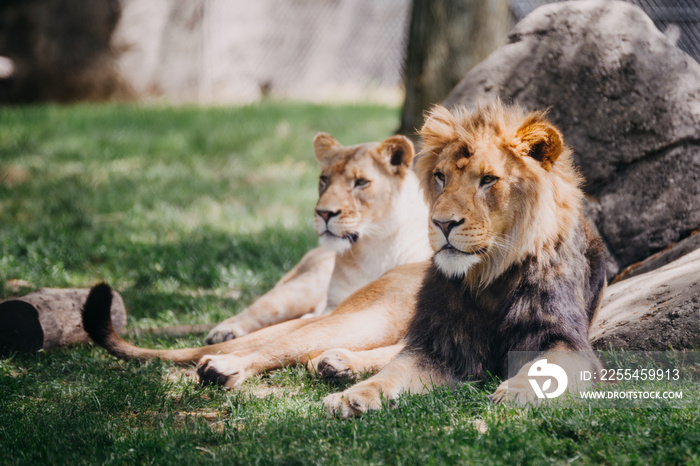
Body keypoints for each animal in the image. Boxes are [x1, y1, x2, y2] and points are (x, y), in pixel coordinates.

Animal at [80, 131, 432, 382]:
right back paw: (225, 366)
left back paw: (336, 364)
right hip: (368, 316)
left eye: (361, 183)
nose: (325, 213)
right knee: (282, 342)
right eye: (324, 180)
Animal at [326, 103, 604, 418]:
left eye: (488, 180)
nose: (442, 223)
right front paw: (352, 397)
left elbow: (546, 367)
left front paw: (516, 394)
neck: (489, 278)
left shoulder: (567, 341)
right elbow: (395, 368)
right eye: (440, 176)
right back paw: (338, 362)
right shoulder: (441, 342)